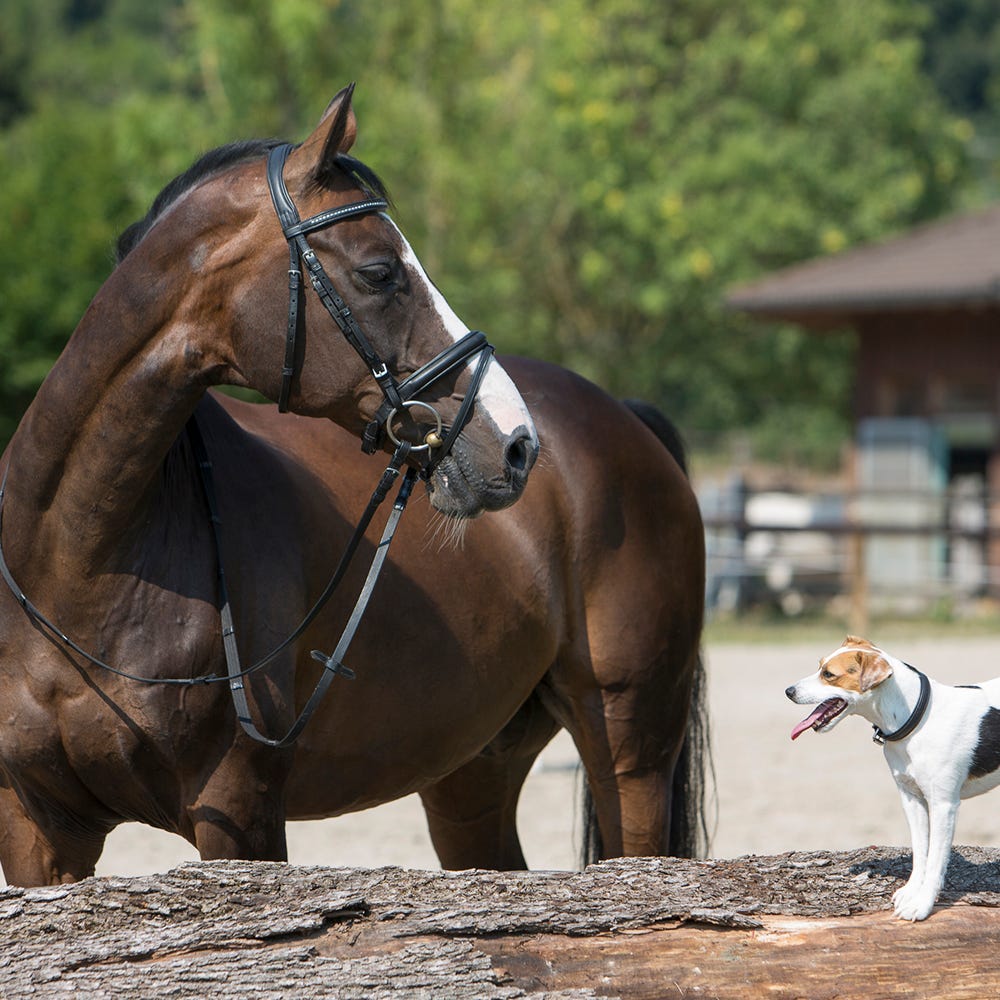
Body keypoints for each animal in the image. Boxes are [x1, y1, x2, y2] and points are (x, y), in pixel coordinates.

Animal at [0, 88, 704, 884]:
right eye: (379, 271)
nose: (518, 445)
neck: (81, 560)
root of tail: (627, 420)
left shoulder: (240, 811)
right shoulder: (38, 830)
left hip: (631, 746)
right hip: (472, 769)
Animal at [784, 636, 1000, 916]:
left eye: (829, 674)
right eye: (819, 665)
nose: (788, 691)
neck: (919, 720)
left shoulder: (943, 805)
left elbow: (935, 861)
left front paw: (922, 905)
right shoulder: (912, 800)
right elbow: (920, 853)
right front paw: (912, 892)